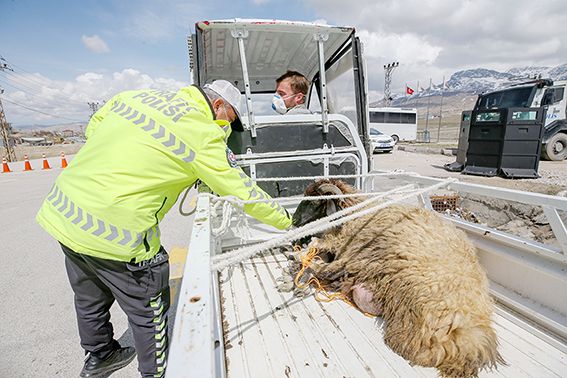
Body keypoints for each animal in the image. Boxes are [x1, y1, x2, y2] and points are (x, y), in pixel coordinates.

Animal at [292, 179, 506, 376]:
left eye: (313, 202)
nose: (293, 221)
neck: (360, 211)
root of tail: (472, 335)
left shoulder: (353, 250)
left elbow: (322, 251)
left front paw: (302, 256)